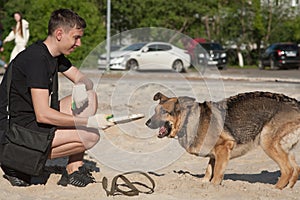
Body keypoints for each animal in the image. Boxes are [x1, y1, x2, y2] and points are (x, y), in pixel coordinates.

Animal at [146, 91, 300, 188]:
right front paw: (204, 184)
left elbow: (217, 174)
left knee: (287, 170)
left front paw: (213, 186)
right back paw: (287, 190)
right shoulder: (214, 155)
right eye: (155, 111)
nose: (147, 123)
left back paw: (274, 189)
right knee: (296, 169)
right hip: (285, 149)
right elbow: (209, 171)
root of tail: (295, 104)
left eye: (164, 112)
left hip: (266, 142)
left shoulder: (223, 148)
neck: (189, 120)